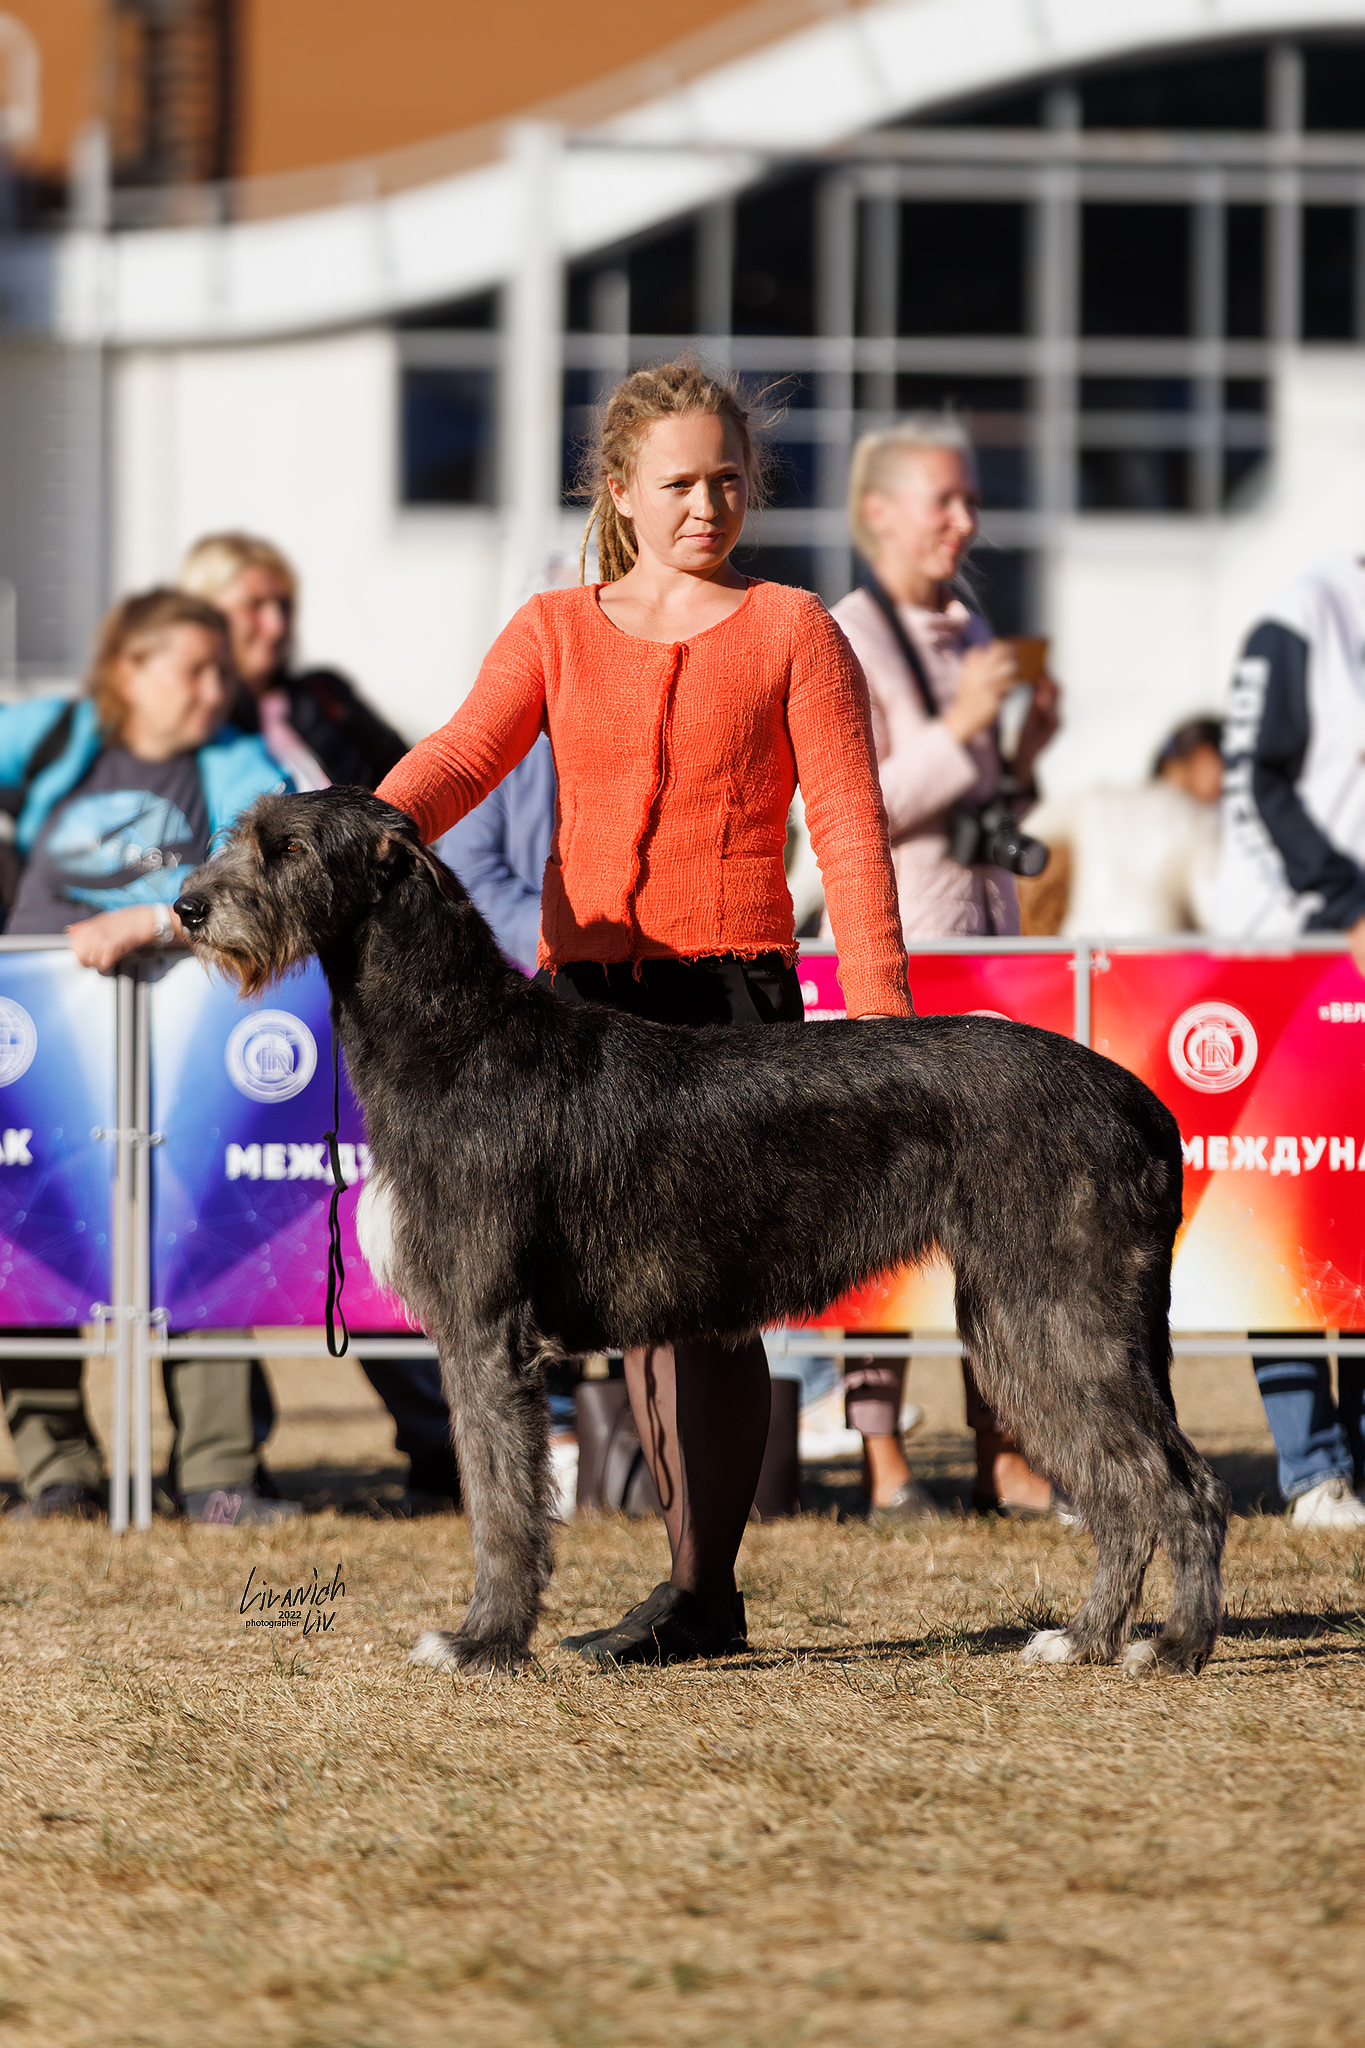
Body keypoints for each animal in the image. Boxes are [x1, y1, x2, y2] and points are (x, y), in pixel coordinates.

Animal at [175, 786, 1236, 1679]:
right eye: (240, 832)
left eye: (289, 847)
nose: (185, 908)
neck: (455, 1039)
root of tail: (1144, 1107)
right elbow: (496, 1489)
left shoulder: (484, 1331)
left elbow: (502, 1504)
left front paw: (484, 1642)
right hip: (1023, 1327)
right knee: (1119, 1490)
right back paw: (1088, 1639)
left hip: (1056, 1311)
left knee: (1177, 1484)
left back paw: (1175, 1645)